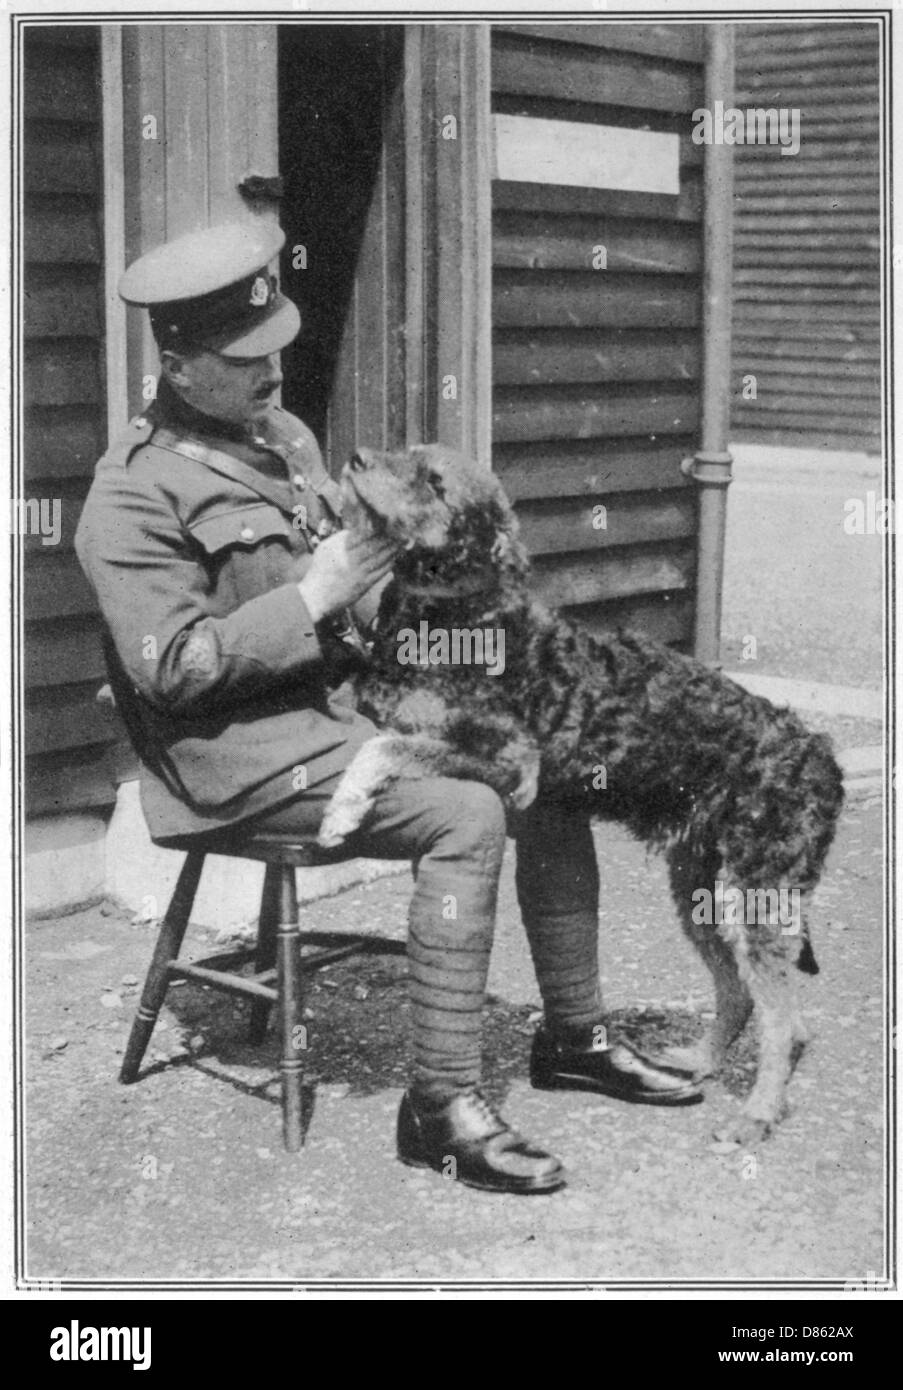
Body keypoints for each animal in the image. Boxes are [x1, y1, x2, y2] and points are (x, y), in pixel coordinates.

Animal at [322, 444, 844, 1139]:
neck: (455, 616)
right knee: (740, 994)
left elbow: (381, 746)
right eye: (410, 453)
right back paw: (696, 1065)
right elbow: (362, 724)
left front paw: (339, 810)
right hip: (697, 889)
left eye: (434, 481)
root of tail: (819, 754)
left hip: (760, 895)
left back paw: (756, 1115)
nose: (355, 458)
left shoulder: (511, 763)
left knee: (785, 1022)